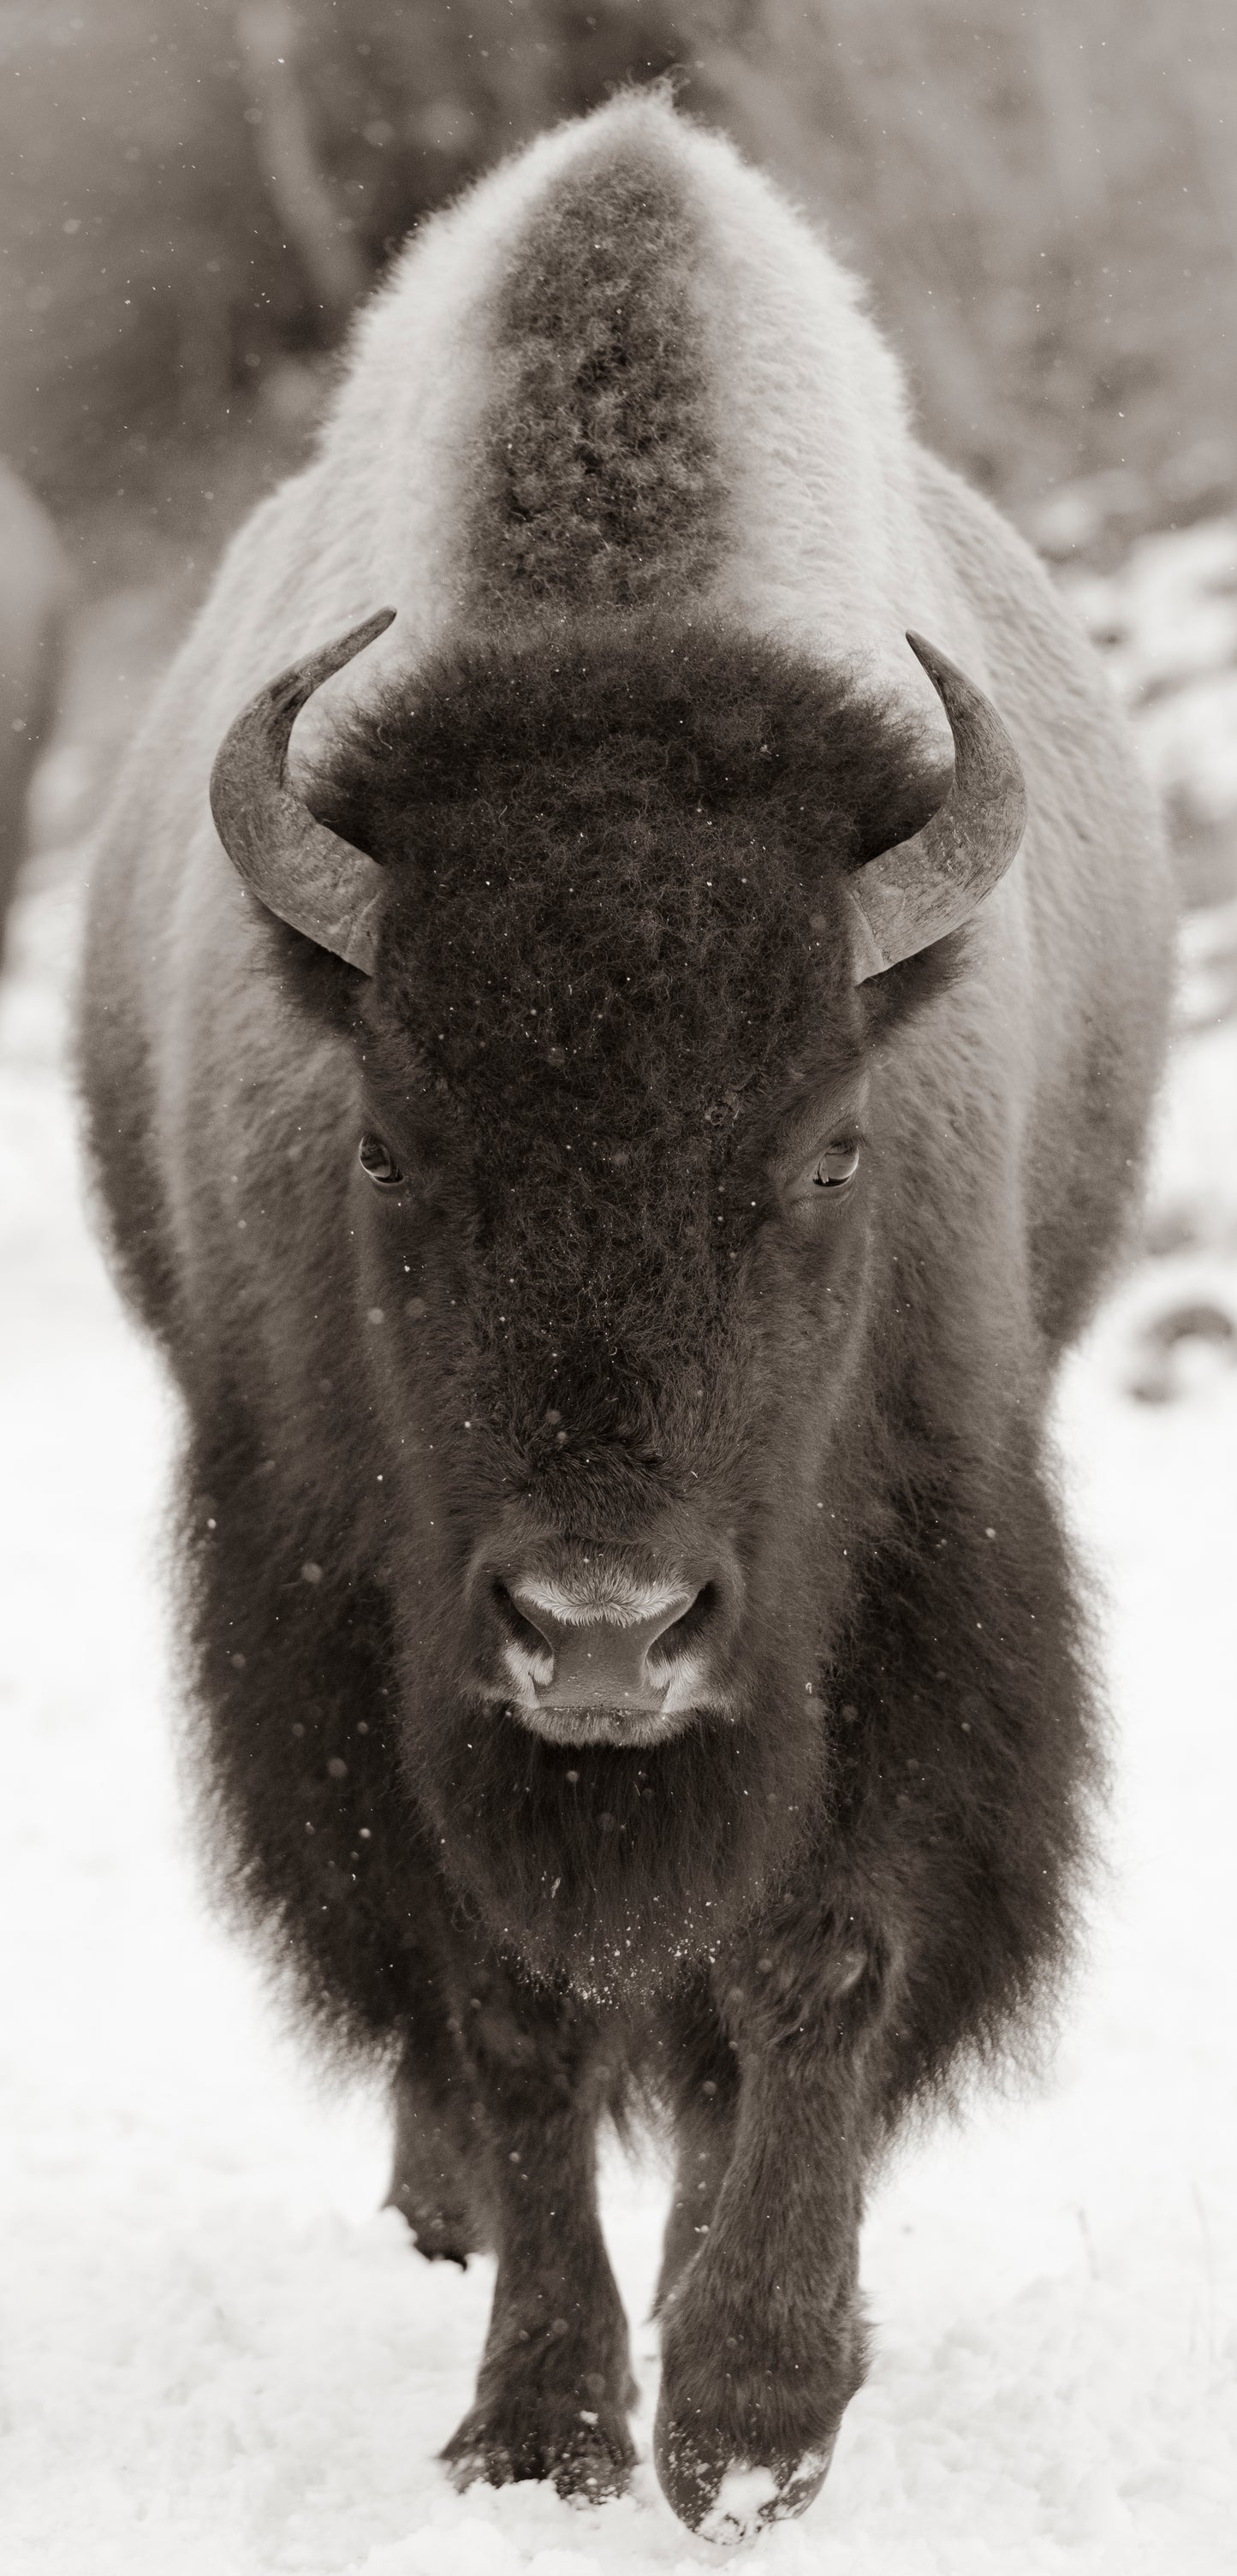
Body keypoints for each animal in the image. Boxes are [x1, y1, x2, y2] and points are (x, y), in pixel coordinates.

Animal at [81, 95, 1175, 2534]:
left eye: (829, 1149)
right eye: (386, 1146)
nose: (601, 1627)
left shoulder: (911, 1570)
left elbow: (806, 1960)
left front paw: (754, 2415)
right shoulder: (350, 1622)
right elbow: (511, 2010)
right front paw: (540, 2430)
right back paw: (460, 2220)